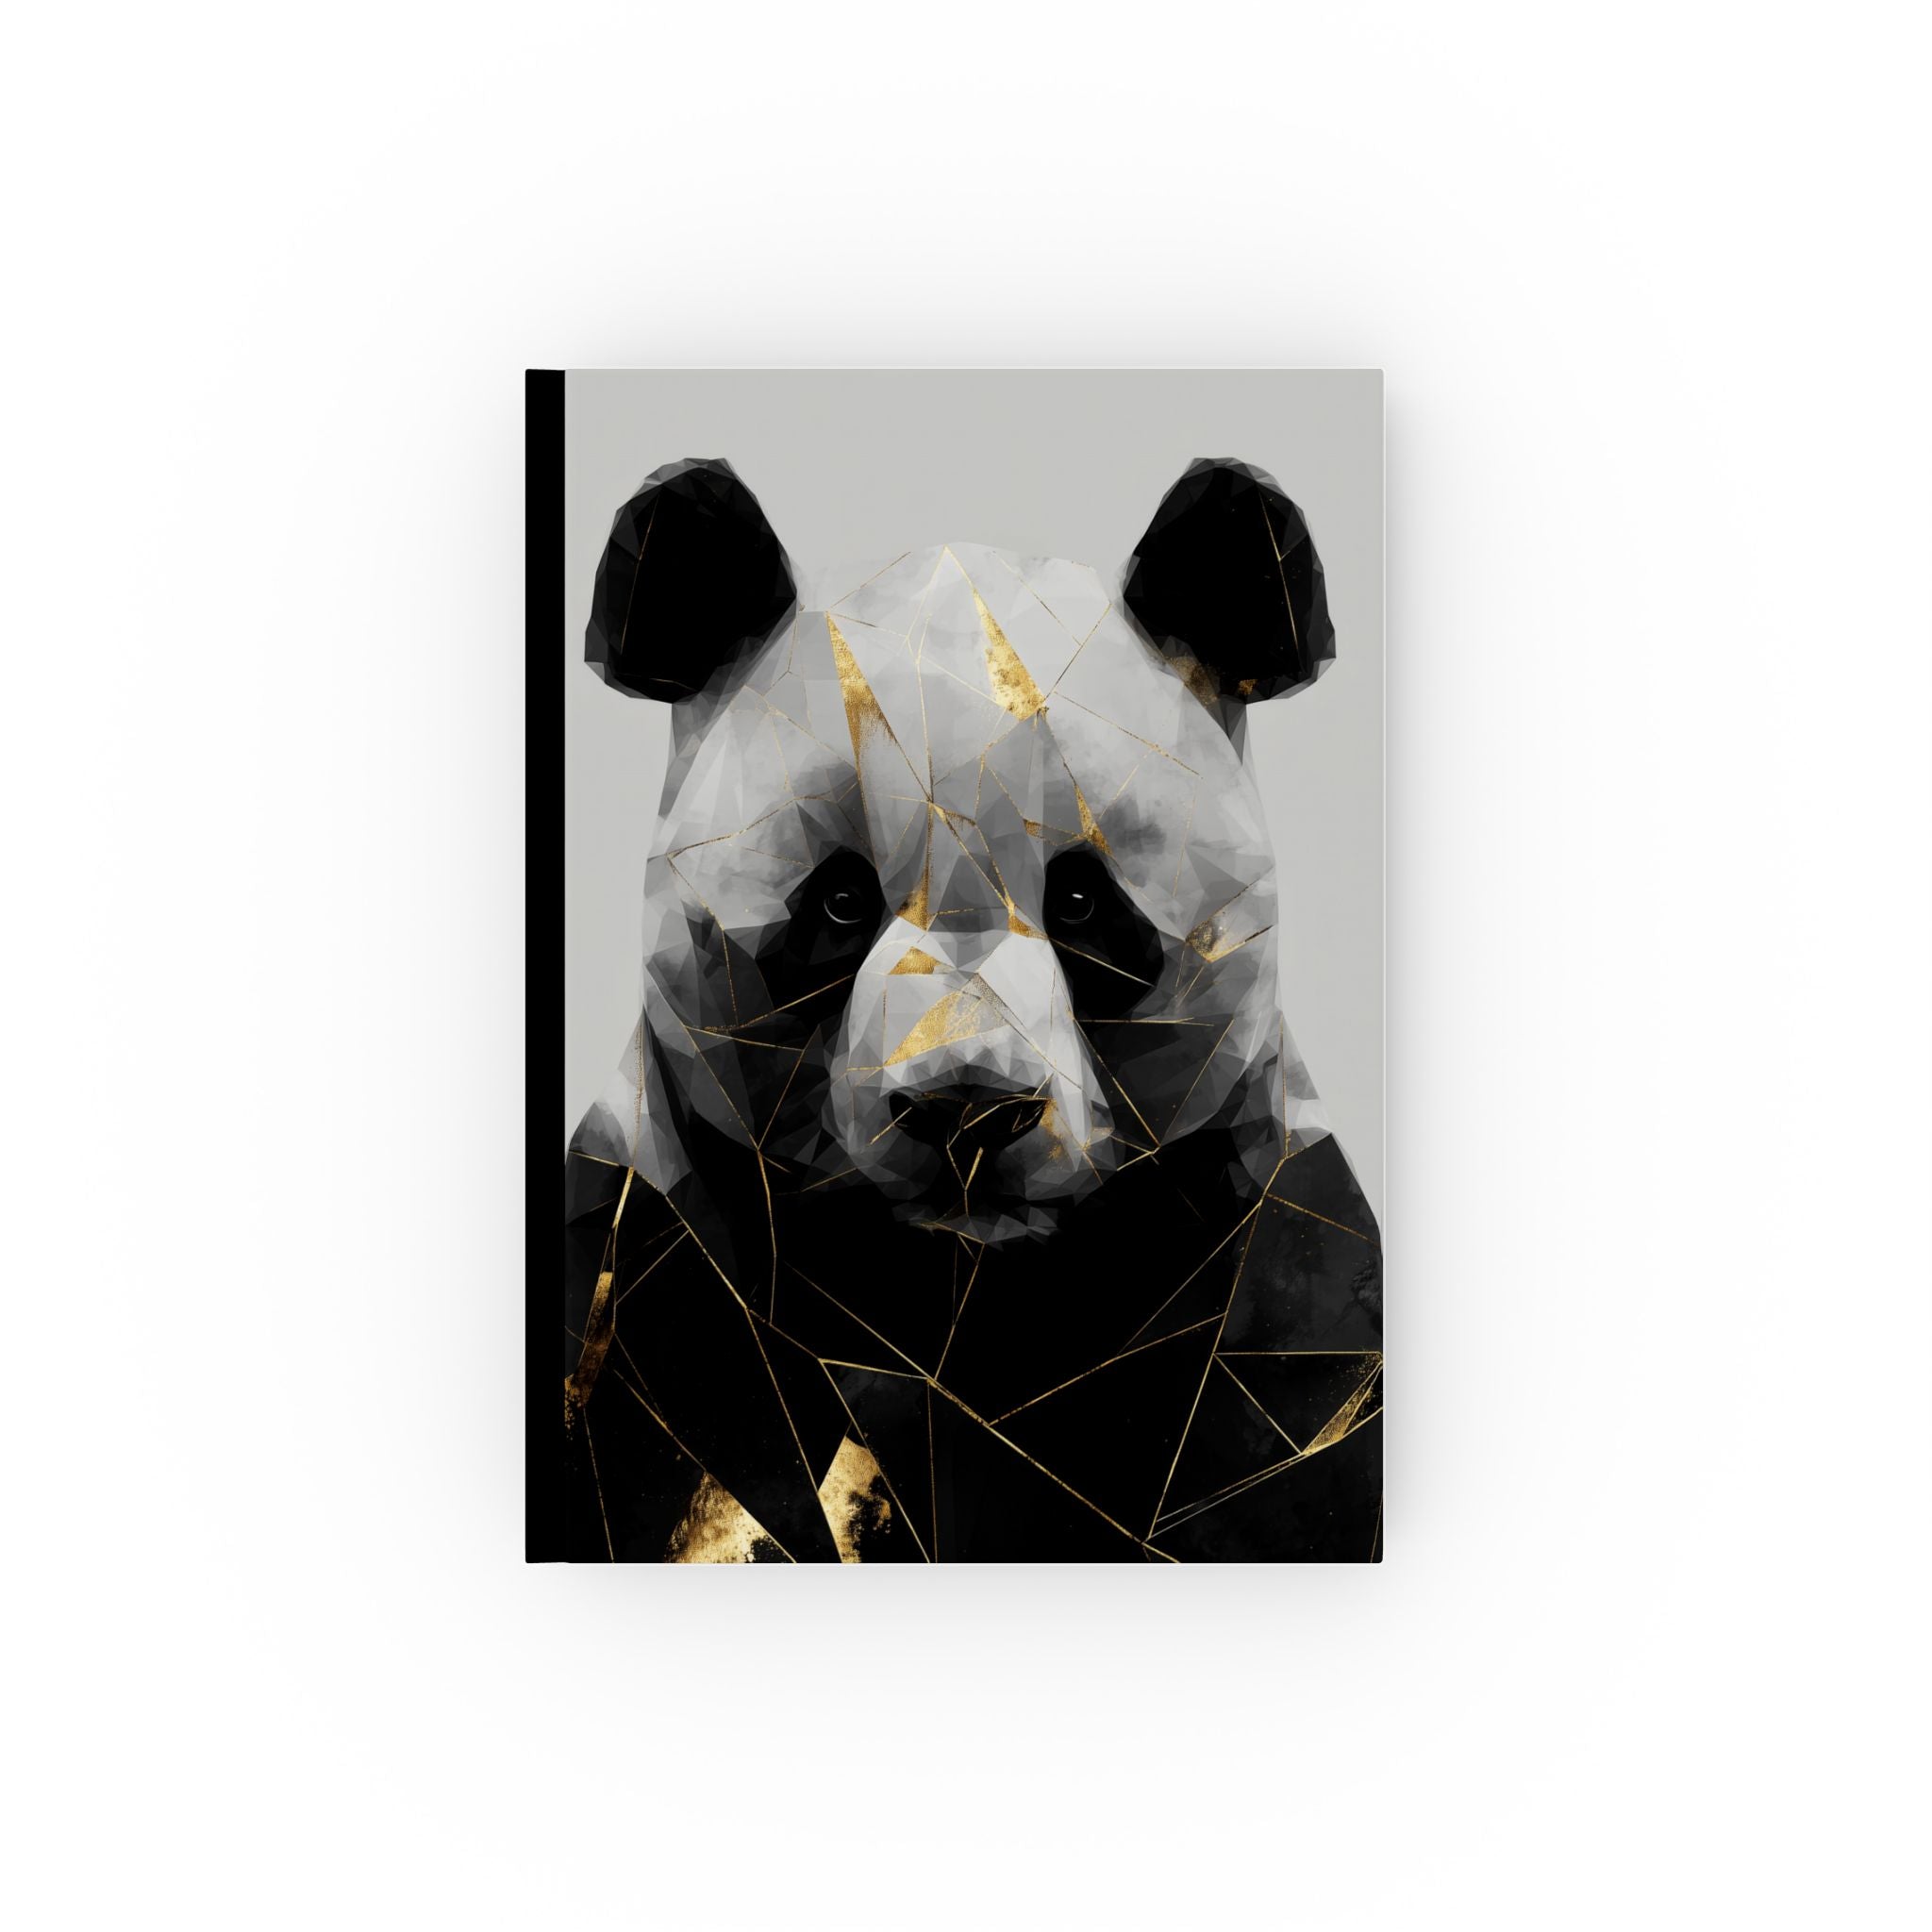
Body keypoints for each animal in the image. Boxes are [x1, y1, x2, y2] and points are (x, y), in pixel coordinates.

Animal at [561, 457, 1382, 1563]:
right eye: (839, 901)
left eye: (1080, 902)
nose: (965, 1110)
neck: (957, 1303)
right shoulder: (646, 1268)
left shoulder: (1272, 1275)